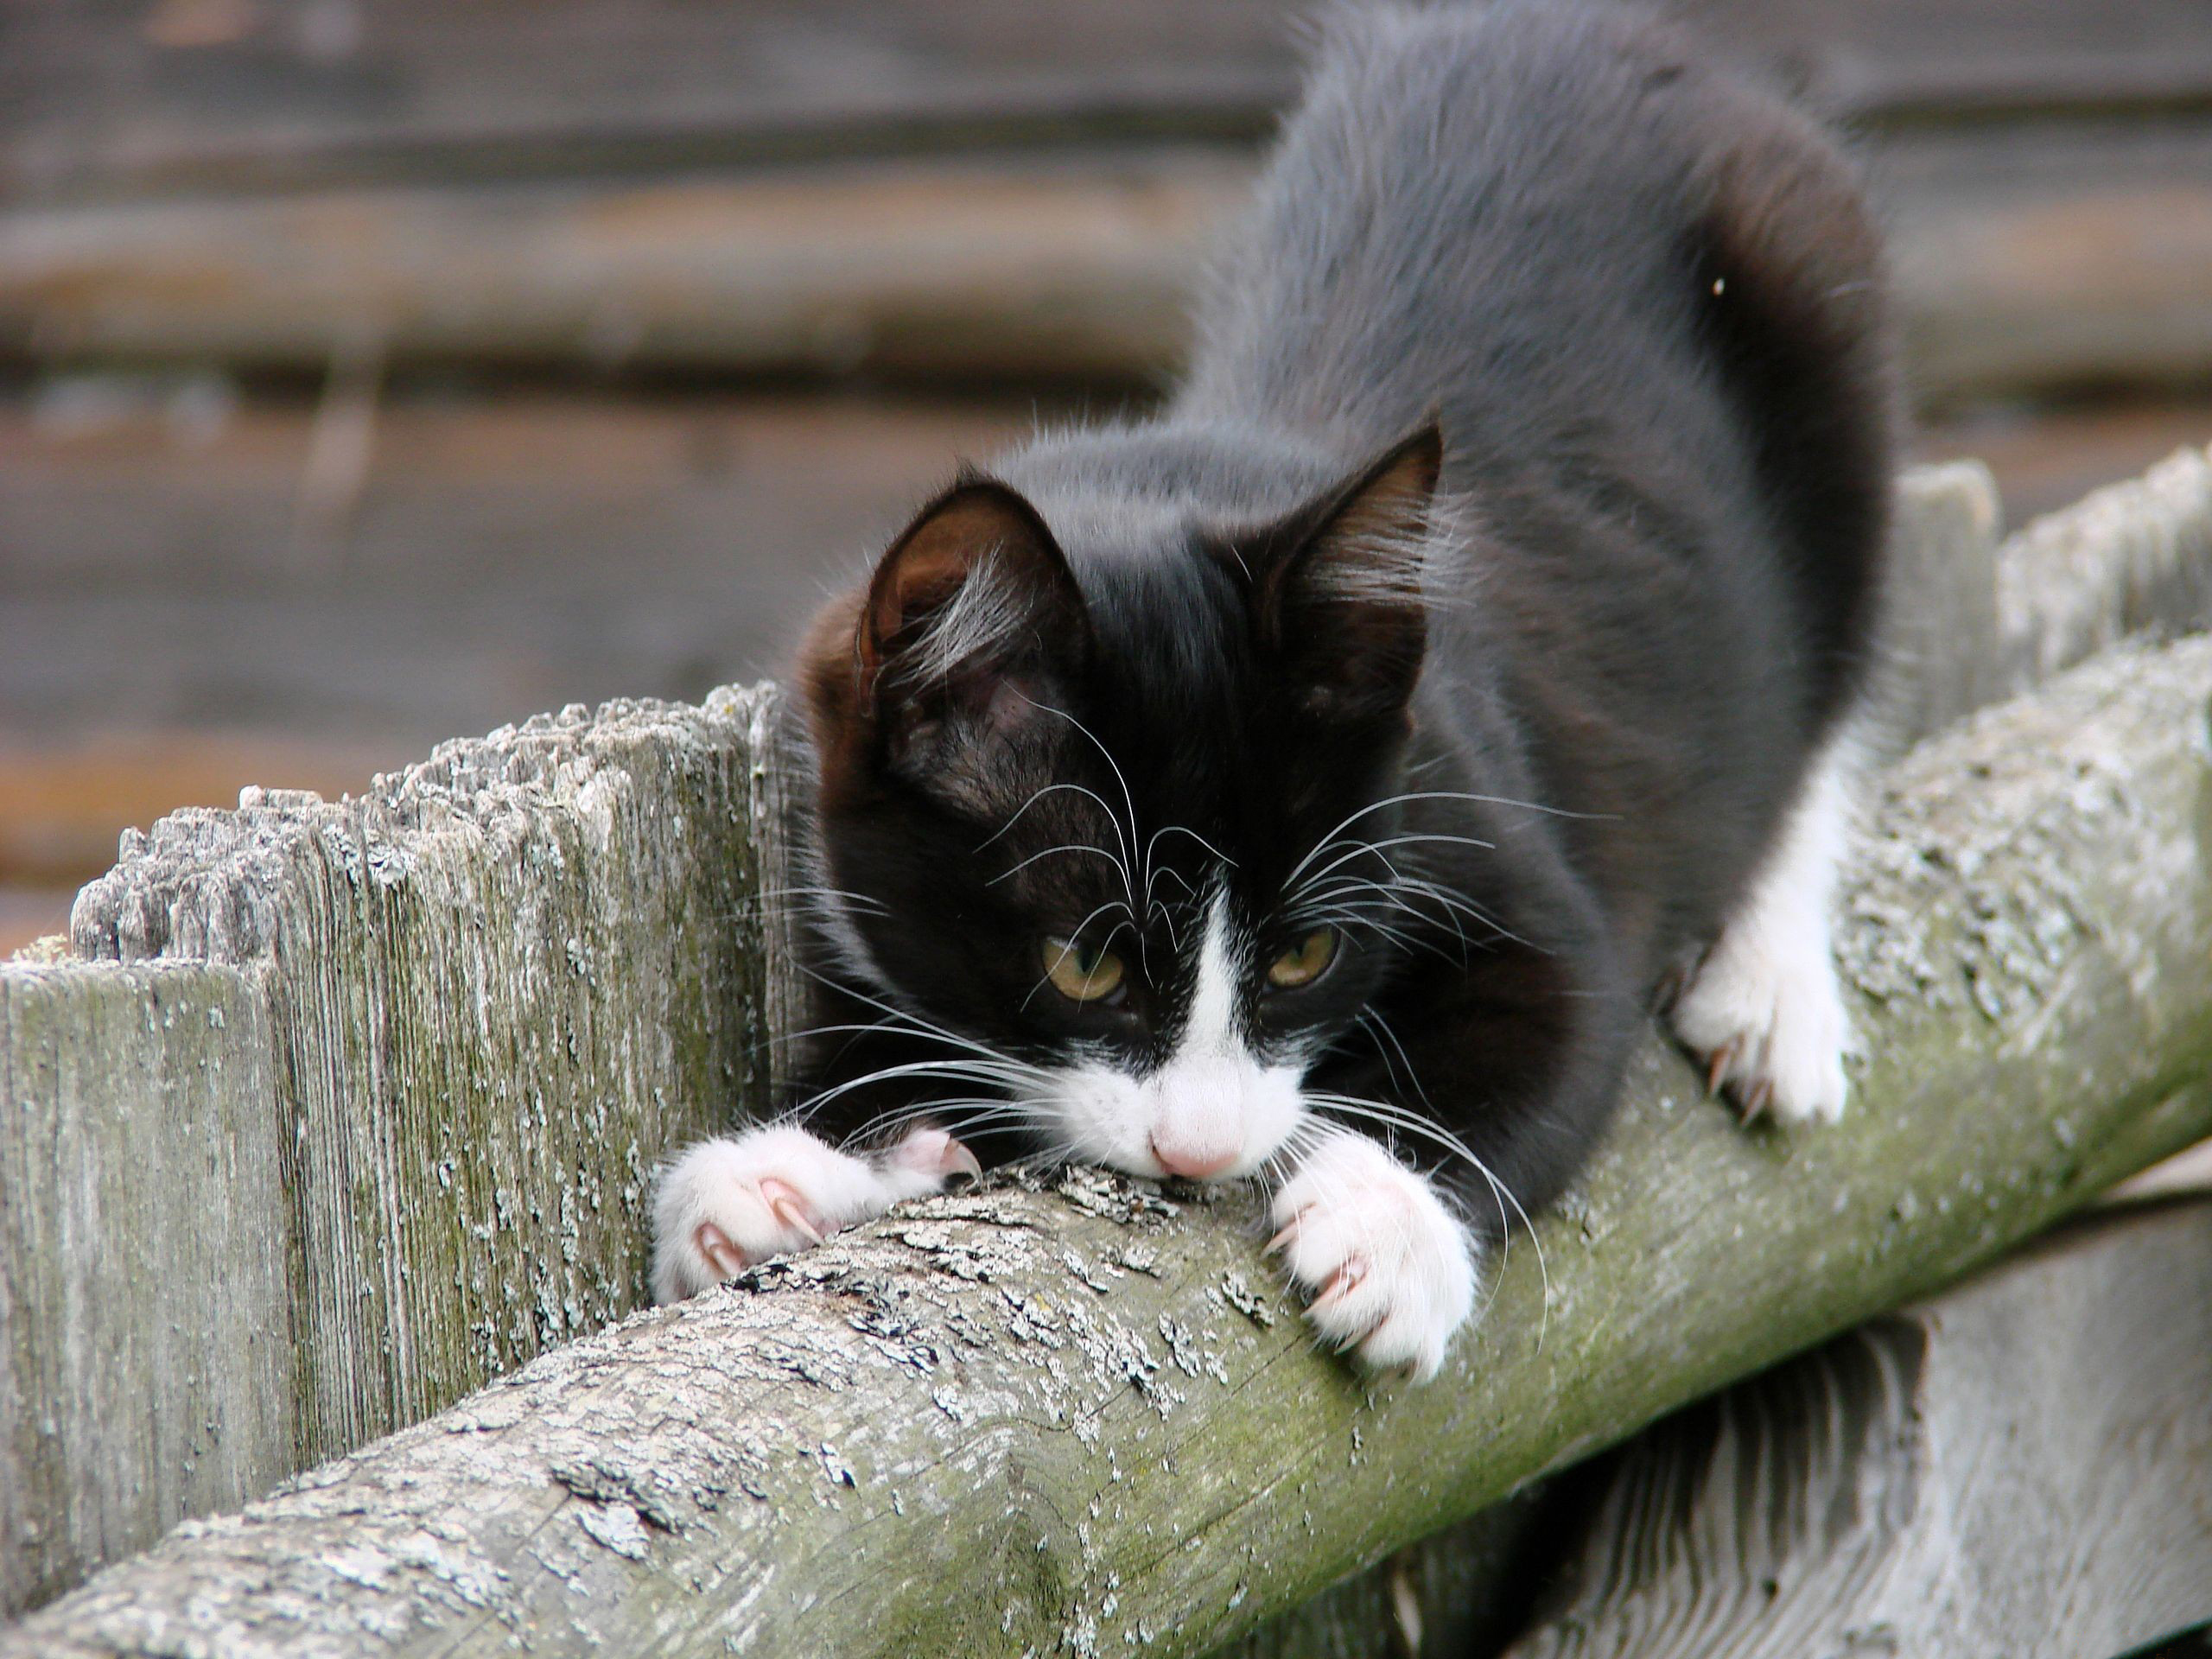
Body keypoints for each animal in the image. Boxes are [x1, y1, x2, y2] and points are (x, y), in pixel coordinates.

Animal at [645, 6, 1893, 1380]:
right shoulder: (841, 870)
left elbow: (1563, 1009)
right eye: (1086, 964)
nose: (1200, 1150)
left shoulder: (1470, 795)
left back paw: (1770, 991)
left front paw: (1386, 1228)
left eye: (1305, 952)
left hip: (1814, 295)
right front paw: (788, 1171)